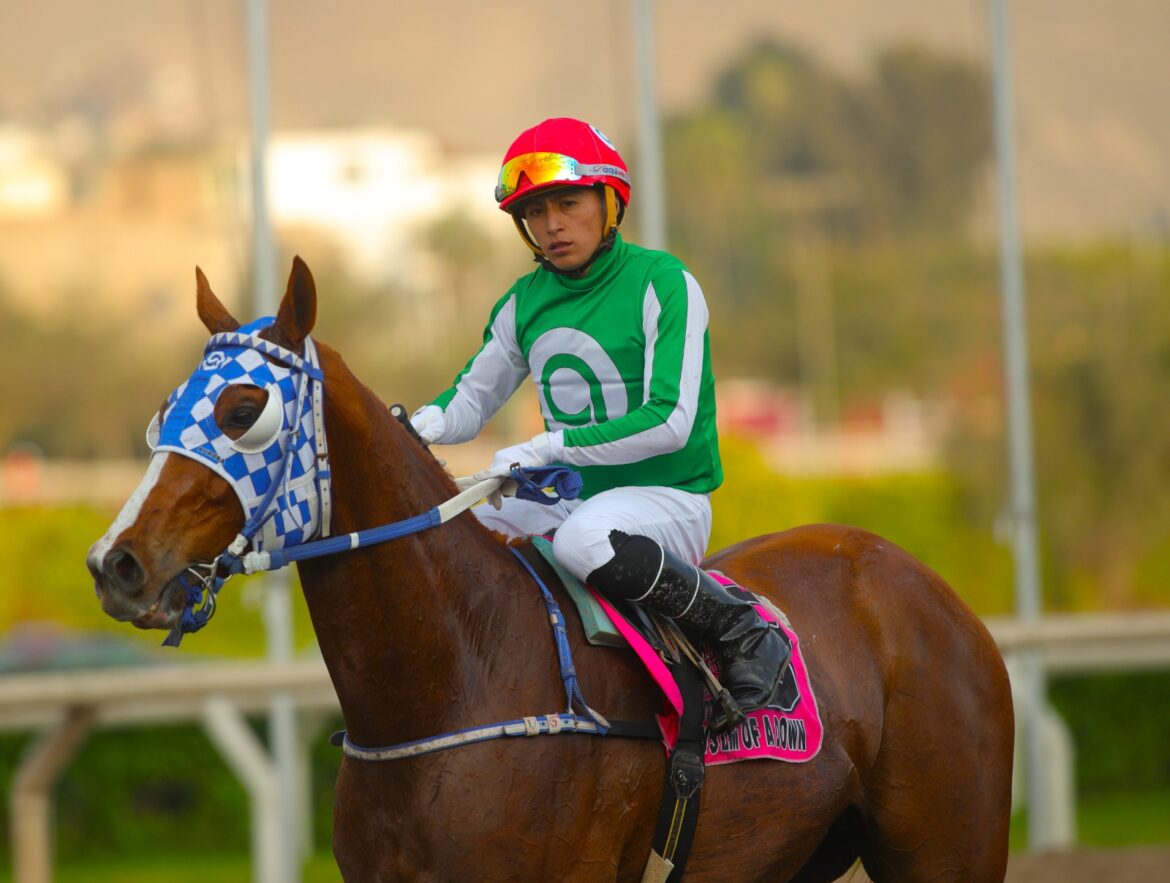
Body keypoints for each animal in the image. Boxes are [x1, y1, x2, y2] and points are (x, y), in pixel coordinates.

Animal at [86, 257, 1015, 883]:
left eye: (243, 409)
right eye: (166, 410)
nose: (115, 563)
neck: (457, 675)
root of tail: (915, 577)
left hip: (947, 846)